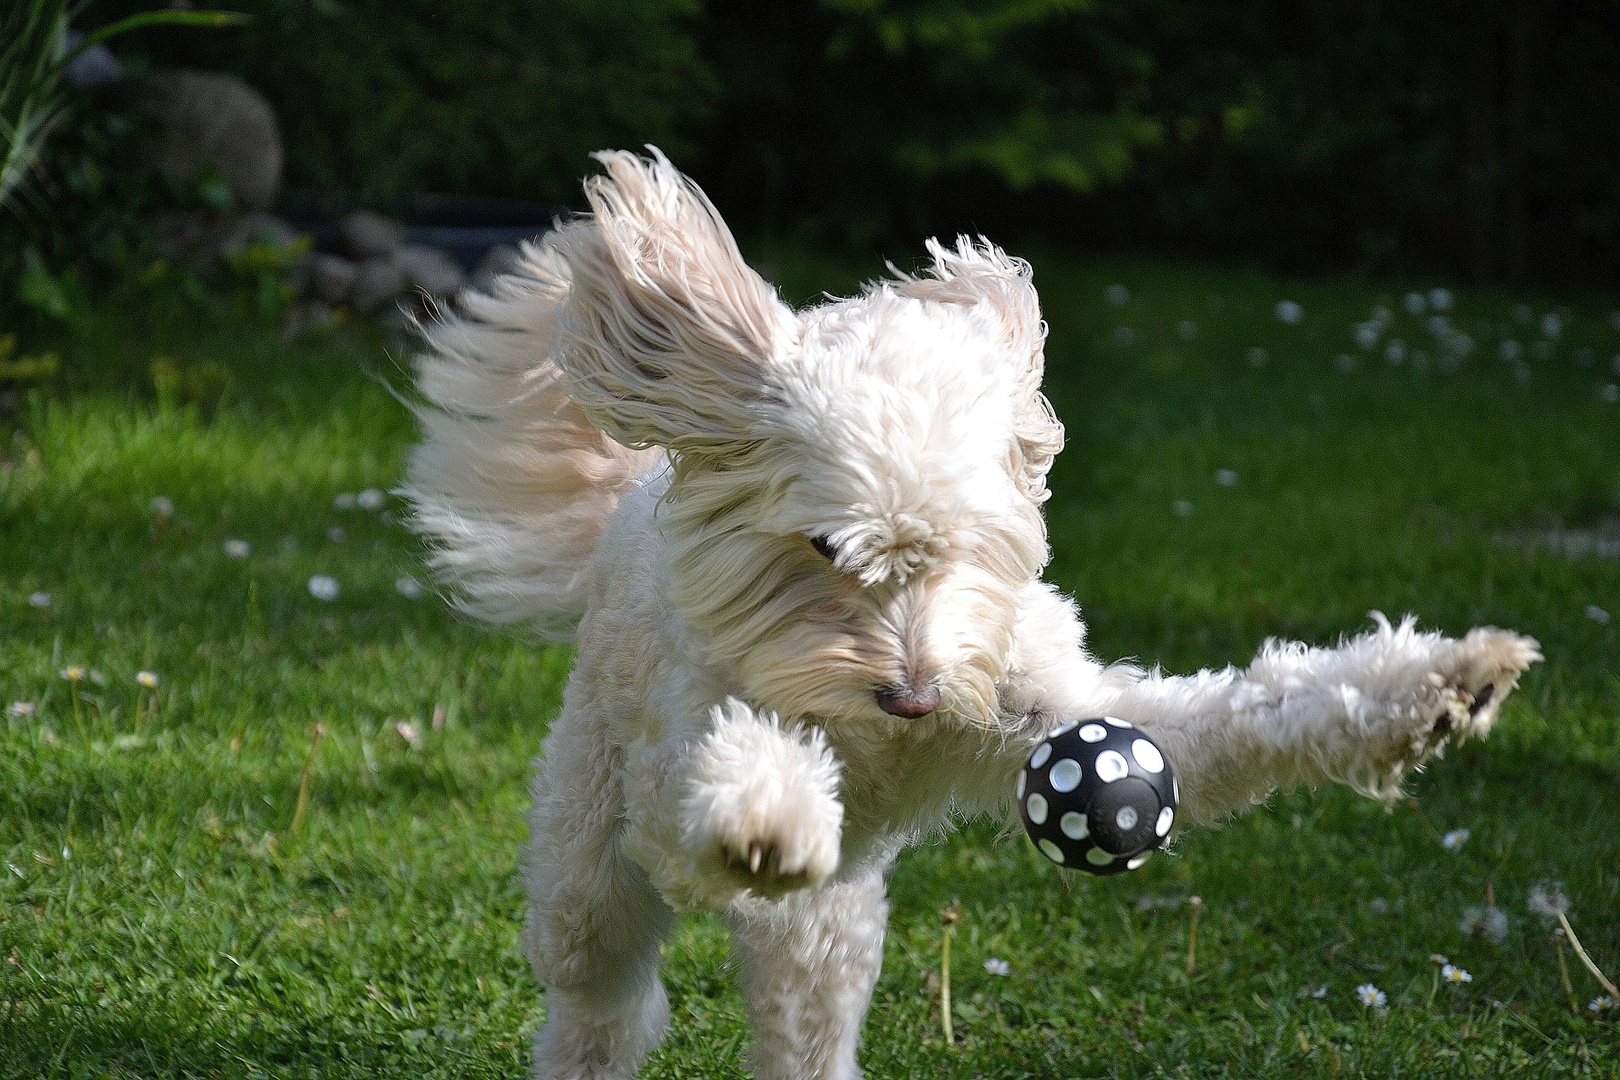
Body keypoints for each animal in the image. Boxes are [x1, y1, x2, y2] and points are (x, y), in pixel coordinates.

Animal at [405, 149, 1542, 1080]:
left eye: (962, 545)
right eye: (827, 549)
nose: (914, 697)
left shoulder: (1071, 710)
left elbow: (1254, 715)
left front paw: (1442, 685)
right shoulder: (681, 756)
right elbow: (730, 771)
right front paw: (770, 815)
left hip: (829, 937)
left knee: (801, 1032)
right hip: (590, 862)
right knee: (603, 1001)